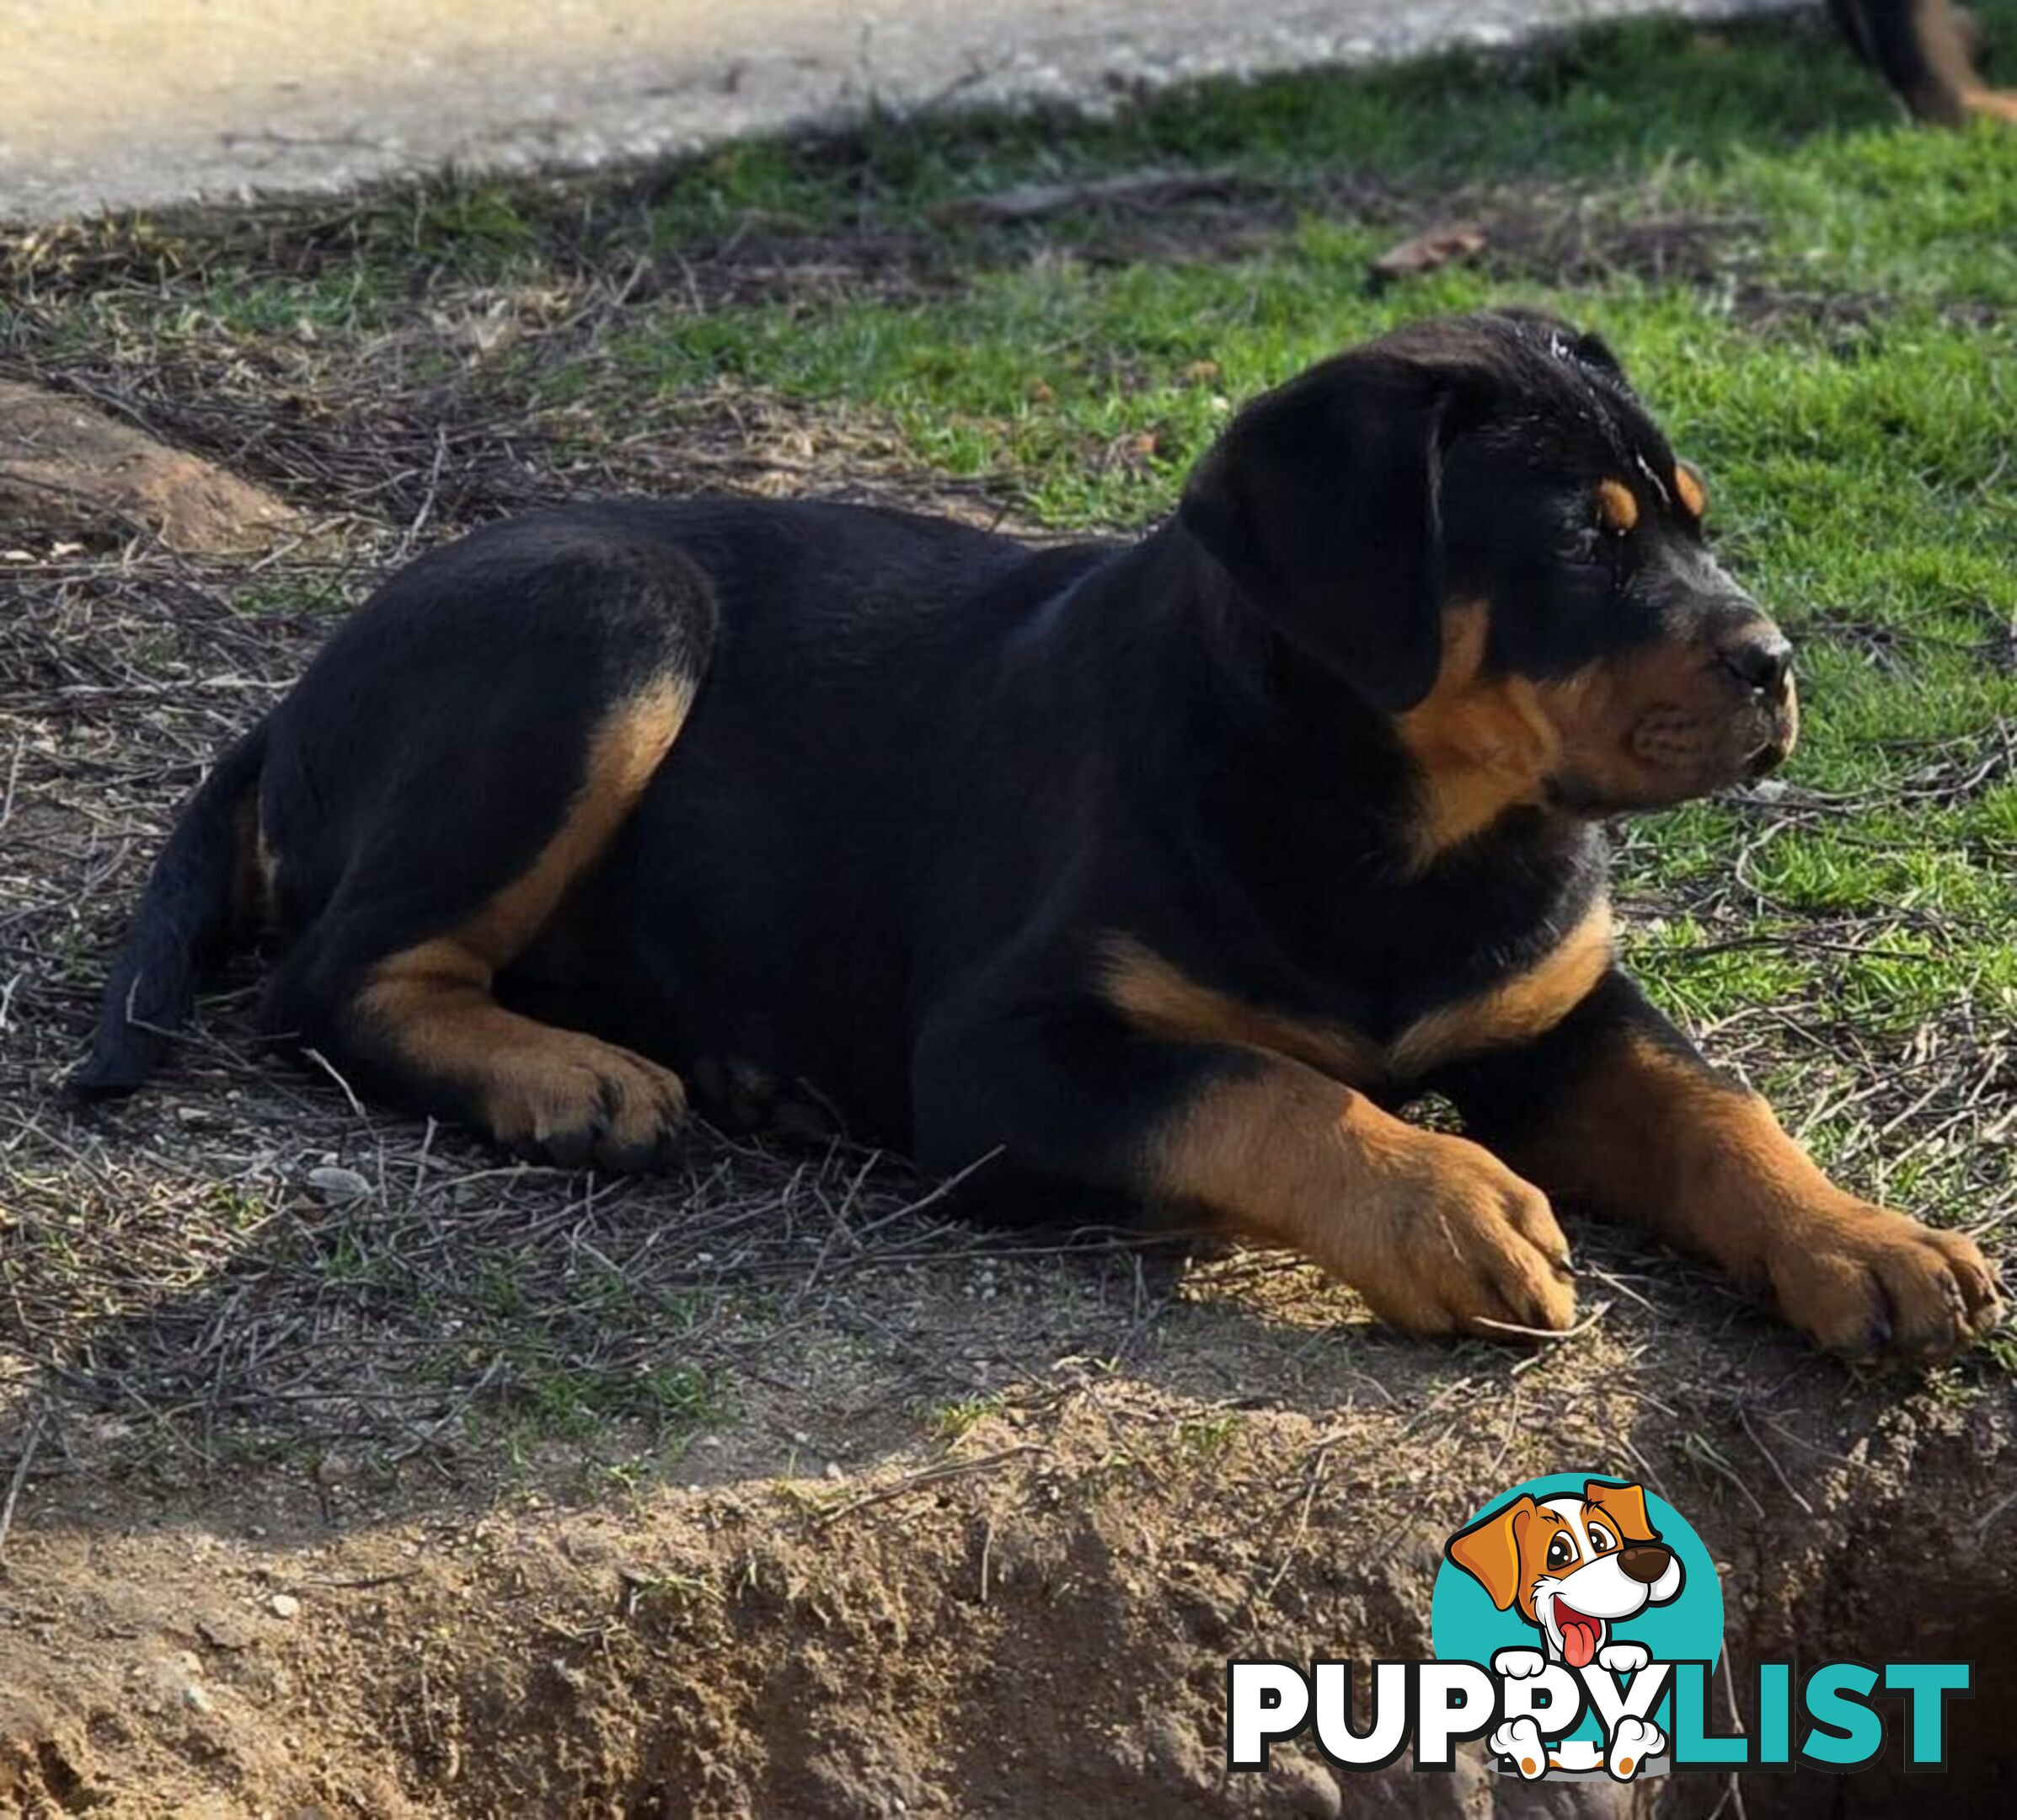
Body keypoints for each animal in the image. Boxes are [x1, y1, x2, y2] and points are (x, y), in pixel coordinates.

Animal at [78, 313, 2000, 1363]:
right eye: (1583, 545)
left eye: (1691, 522)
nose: (1774, 667)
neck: (1406, 825)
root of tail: (297, 690)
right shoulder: (1007, 1053)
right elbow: (1263, 1088)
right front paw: (1446, 1201)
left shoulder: (1556, 1011)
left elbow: (1710, 1110)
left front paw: (1865, 1243)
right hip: (610, 617)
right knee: (330, 983)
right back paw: (573, 1081)